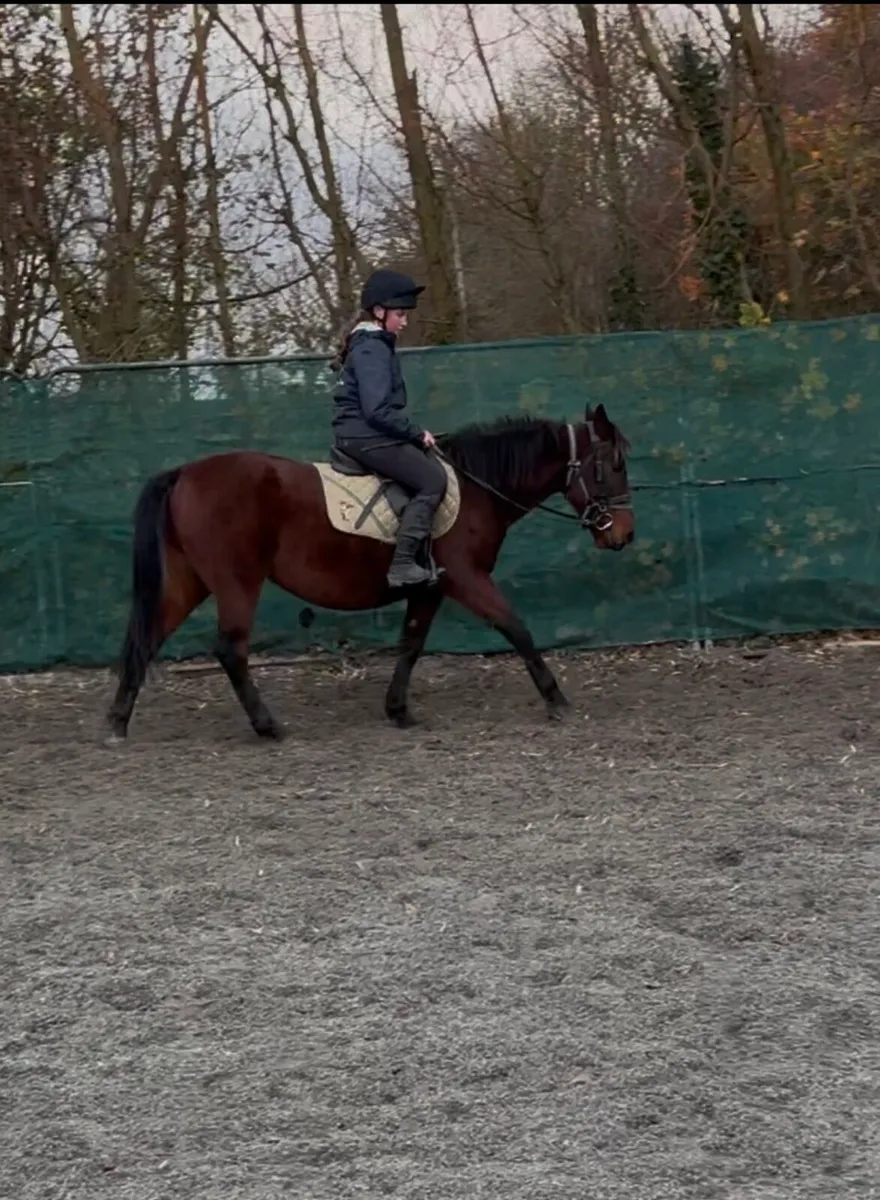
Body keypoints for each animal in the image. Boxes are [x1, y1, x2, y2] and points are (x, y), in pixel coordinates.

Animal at [106, 401, 633, 741]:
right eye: (612, 465)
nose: (623, 536)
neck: (476, 488)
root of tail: (184, 473)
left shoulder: (431, 587)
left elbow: (411, 643)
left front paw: (398, 710)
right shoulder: (465, 579)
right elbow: (516, 628)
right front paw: (556, 699)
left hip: (189, 582)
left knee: (147, 640)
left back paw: (117, 722)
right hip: (238, 583)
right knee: (230, 651)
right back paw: (267, 725)